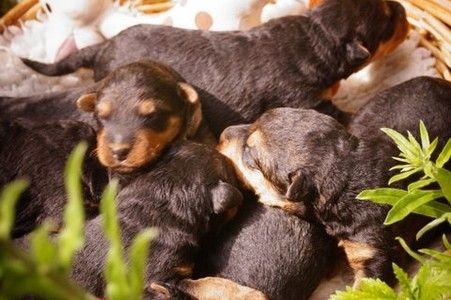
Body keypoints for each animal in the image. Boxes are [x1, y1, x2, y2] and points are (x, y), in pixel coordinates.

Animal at [22, 0, 410, 135]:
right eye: (389, 21)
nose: (405, 10)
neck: (318, 34)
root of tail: (104, 46)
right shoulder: (307, 100)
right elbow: (340, 112)